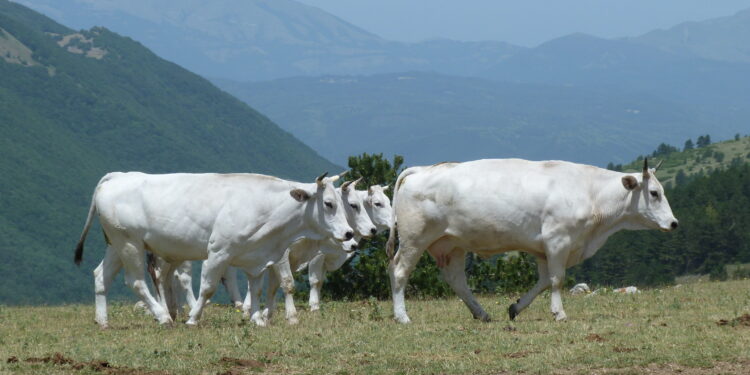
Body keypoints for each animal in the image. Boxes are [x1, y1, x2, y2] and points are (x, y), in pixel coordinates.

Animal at [75, 172, 356, 328]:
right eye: (328, 203)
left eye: (342, 203)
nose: (349, 234)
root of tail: (118, 176)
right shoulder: (219, 251)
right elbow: (208, 288)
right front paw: (193, 318)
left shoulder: (256, 256)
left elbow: (256, 288)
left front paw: (257, 319)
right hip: (129, 243)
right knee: (135, 281)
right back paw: (164, 317)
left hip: (115, 243)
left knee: (101, 276)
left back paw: (103, 321)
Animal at [388, 158, 680, 324]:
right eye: (654, 193)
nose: (674, 223)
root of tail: (420, 170)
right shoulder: (558, 241)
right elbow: (557, 280)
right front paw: (559, 313)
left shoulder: (543, 249)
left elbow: (543, 281)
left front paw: (515, 308)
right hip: (415, 238)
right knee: (400, 271)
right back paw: (402, 317)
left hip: (452, 244)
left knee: (457, 280)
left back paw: (481, 314)